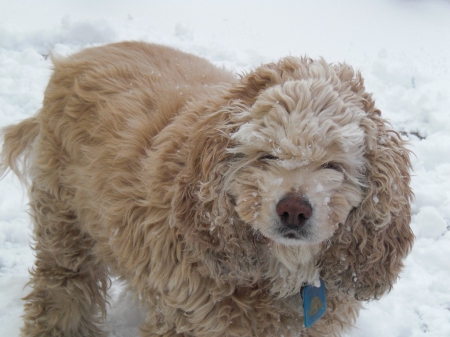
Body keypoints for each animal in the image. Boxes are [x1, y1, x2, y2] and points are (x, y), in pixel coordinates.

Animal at [0, 42, 414, 336]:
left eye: (333, 166)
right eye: (266, 155)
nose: (293, 210)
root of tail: (72, 59)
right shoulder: (184, 318)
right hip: (65, 224)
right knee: (62, 289)